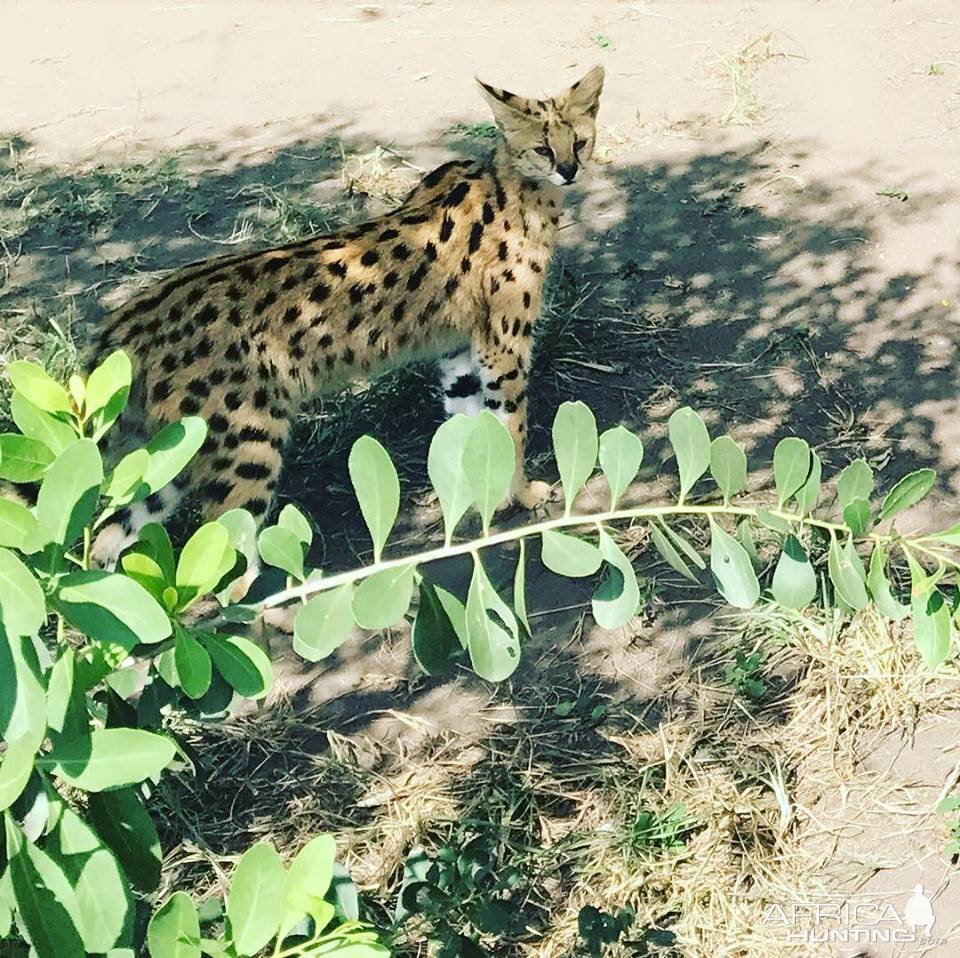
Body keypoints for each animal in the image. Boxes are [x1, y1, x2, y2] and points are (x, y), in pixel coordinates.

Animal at [94, 67, 604, 568]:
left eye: (580, 141)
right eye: (543, 148)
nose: (569, 170)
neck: (512, 179)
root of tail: (128, 320)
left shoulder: (458, 350)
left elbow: (470, 425)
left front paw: (478, 495)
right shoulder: (503, 345)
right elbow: (512, 427)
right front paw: (522, 494)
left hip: (181, 454)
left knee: (108, 538)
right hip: (246, 449)